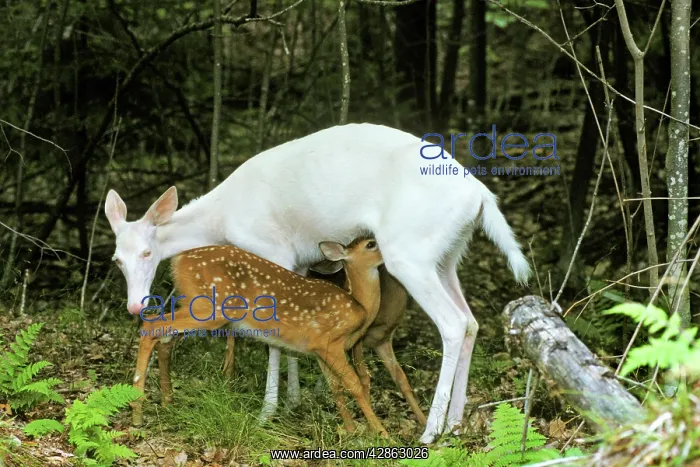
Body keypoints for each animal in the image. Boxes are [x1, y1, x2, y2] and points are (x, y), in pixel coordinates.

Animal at [131, 238, 389, 436]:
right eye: (371, 243)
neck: (359, 306)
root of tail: (178, 260)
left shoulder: (318, 351)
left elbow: (336, 388)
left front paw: (351, 430)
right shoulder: (328, 342)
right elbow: (355, 385)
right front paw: (381, 434)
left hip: (195, 305)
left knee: (165, 338)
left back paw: (166, 403)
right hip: (210, 309)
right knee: (152, 326)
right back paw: (137, 412)